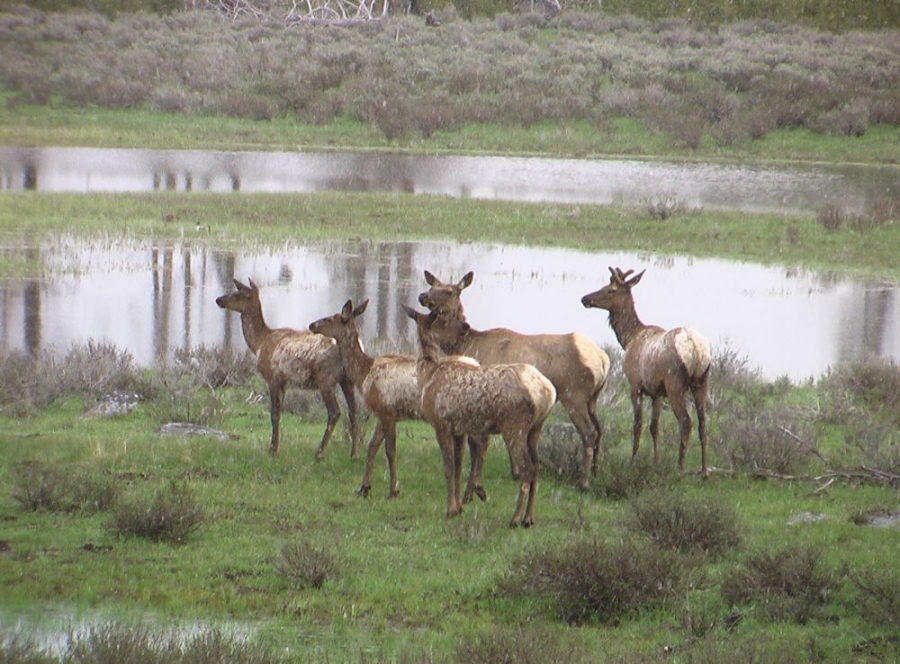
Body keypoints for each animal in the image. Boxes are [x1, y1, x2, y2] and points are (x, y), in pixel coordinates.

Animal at [216, 278, 360, 460]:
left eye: (238, 294)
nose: (219, 299)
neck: (259, 344)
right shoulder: (284, 383)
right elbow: (279, 414)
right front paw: (276, 447)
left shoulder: (273, 377)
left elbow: (274, 414)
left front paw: (273, 450)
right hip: (347, 380)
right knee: (354, 412)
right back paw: (354, 454)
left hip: (325, 377)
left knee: (335, 412)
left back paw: (319, 453)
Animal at [312, 298, 492, 500]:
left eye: (329, 319)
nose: (311, 325)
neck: (364, 374)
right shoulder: (382, 412)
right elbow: (372, 446)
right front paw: (364, 487)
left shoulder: (387, 411)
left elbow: (390, 450)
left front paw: (393, 490)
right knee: (477, 445)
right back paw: (471, 493)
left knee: (480, 443)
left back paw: (475, 491)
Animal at [402, 304, 556, 528]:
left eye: (443, 318)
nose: (465, 327)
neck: (428, 375)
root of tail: (547, 391)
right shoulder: (459, 429)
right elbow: (458, 468)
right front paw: (459, 508)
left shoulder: (441, 423)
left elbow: (448, 468)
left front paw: (450, 510)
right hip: (536, 428)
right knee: (538, 467)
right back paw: (529, 518)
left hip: (514, 424)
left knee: (527, 468)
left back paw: (515, 518)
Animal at [418, 268, 608, 490]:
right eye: (432, 286)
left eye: (448, 291)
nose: (423, 296)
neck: (468, 344)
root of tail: (603, 360)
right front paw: (514, 471)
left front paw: (513, 472)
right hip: (593, 397)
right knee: (600, 429)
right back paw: (596, 472)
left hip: (574, 395)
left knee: (589, 432)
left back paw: (583, 481)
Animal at [580, 268, 712, 474]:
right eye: (603, 286)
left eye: (610, 290)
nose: (585, 298)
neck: (628, 339)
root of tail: (696, 349)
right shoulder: (656, 392)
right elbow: (654, 427)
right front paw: (655, 462)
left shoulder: (635, 385)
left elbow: (638, 426)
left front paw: (632, 462)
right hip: (702, 381)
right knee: (703, 423)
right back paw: (704, 471)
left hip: (675, 384)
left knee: (686, 422)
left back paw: (679, 469)